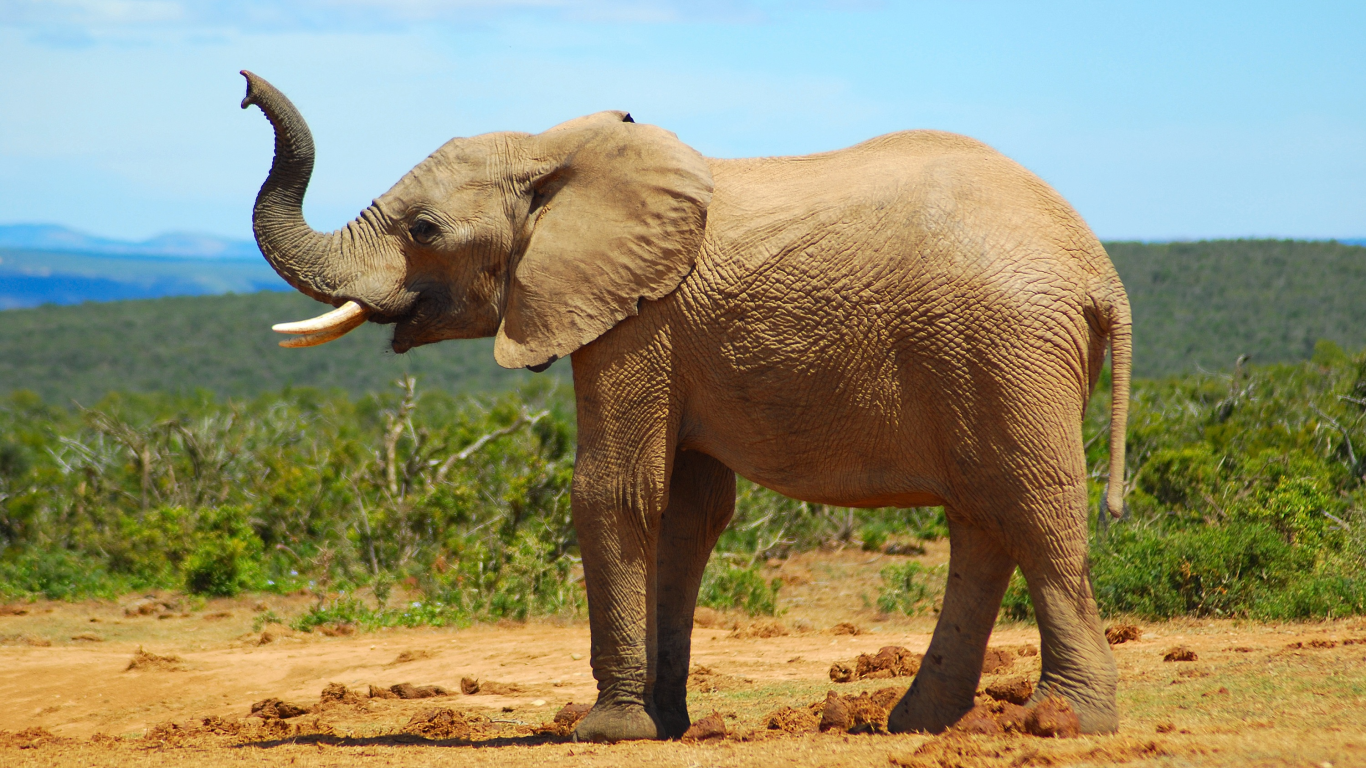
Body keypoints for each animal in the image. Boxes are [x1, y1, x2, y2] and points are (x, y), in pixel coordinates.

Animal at [243, 68, 1131, 737]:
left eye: (424, 229)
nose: (245, 90)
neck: (556, 152)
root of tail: (1100, 271)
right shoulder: (665, 330)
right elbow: (685, 510)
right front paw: (660, 725)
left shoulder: (639, 319)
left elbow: (613, 492)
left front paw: (606, 731)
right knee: (981, 518)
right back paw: (918, 724)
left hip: (1006, 347)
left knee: (1030, 505)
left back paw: (1060, 724)